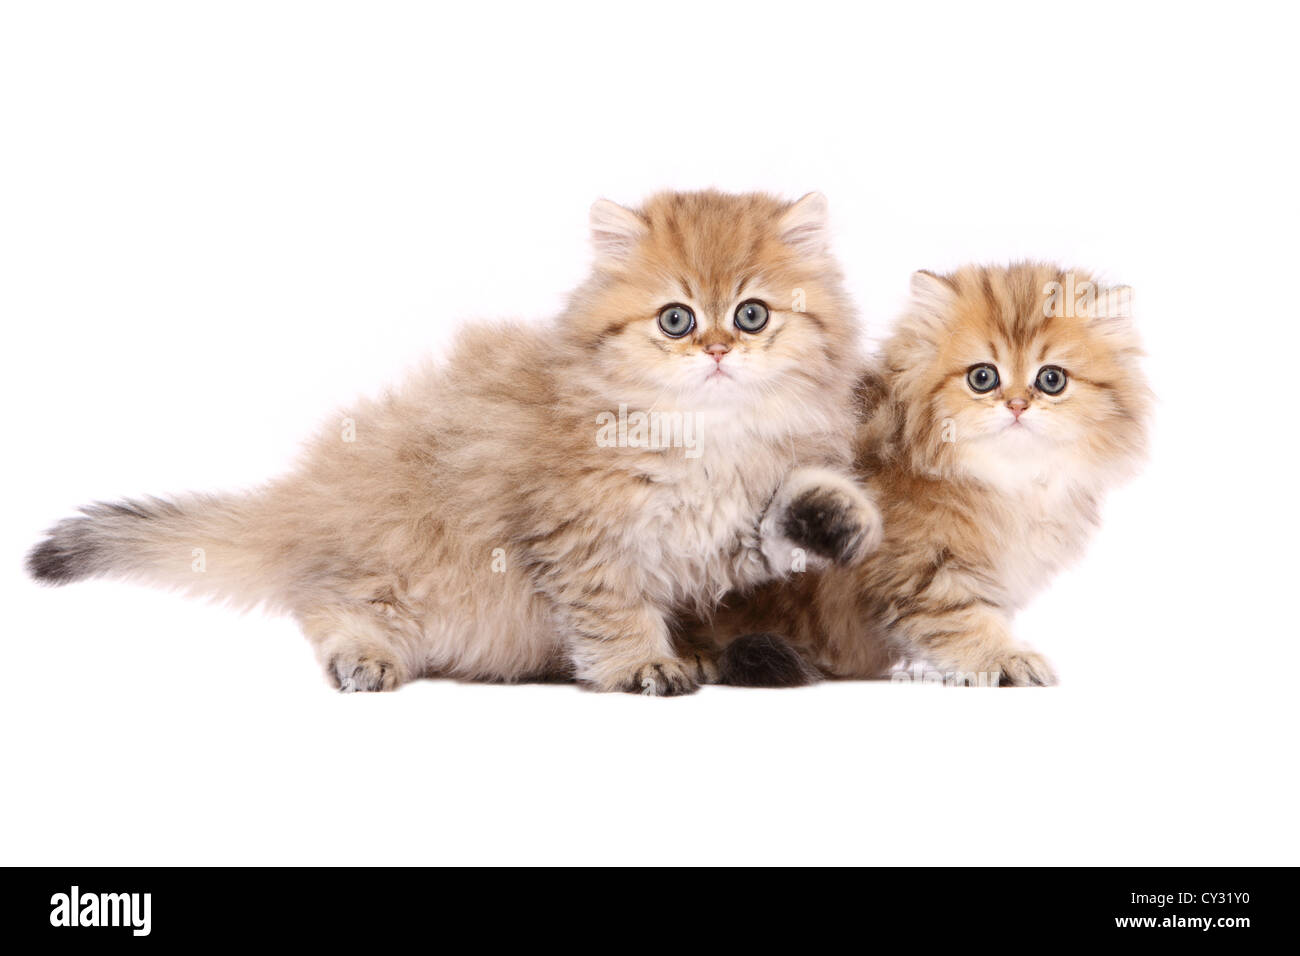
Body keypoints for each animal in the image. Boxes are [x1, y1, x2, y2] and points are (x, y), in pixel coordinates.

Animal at [30, 188, 878, 697]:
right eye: (676, 319)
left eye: (752, 315)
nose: (718, 351)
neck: (708, 436)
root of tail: (311, 498)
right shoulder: (579, 537)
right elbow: (610, 611)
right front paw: (639, 664)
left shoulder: (727, 530)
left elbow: (793, 511)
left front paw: (839, 515)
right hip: (398, 572)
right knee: (326, 602)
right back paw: (362, 656)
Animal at [712, 257, 1149, 686]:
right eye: (982, 377)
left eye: (1052, 379)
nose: (1017, 405)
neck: (1006, 480)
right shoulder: (919, 566)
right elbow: (961, 619)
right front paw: (1006, 659)